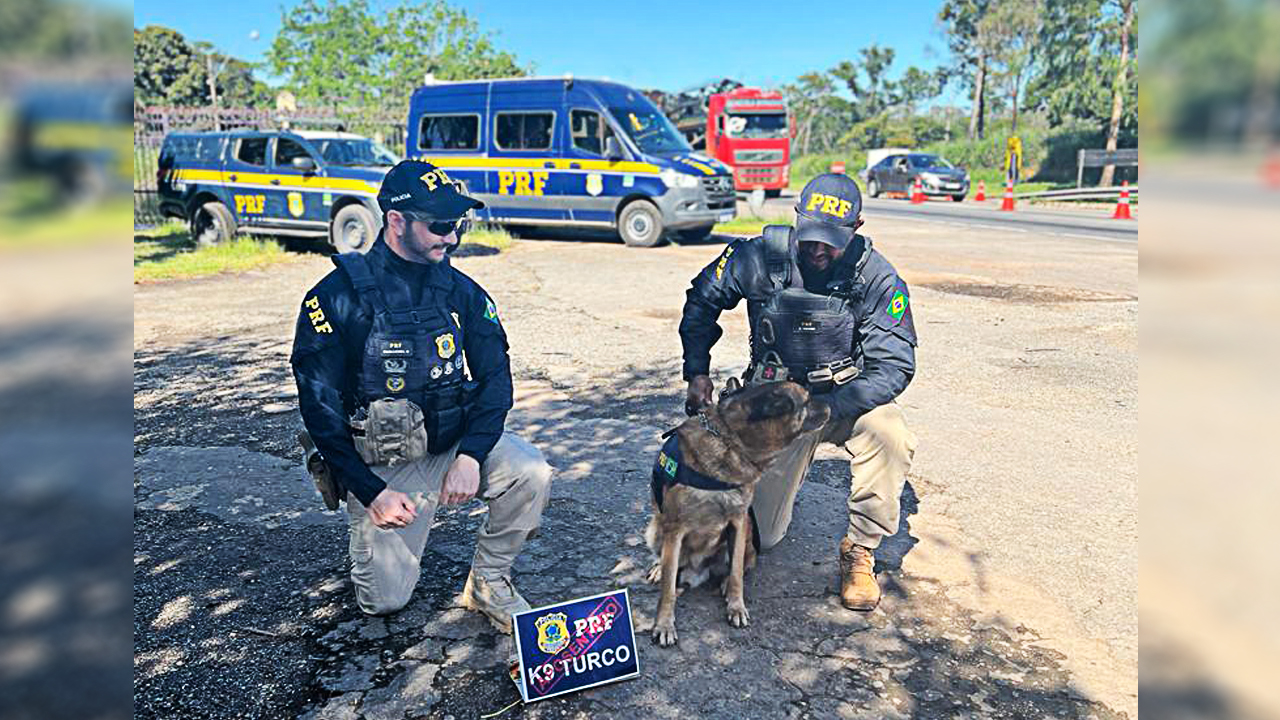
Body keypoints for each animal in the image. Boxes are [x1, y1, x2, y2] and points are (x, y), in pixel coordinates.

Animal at [650, 381, 829, 645]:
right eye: (806, 401)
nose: (829, 405)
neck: (731, 441)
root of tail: (698, 570)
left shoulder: (738, 521)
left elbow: (736, 572)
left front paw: (736, 606)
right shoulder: (674, 529)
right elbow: (668, 587)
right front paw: (664, 624)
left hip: (746, 538)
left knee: (745, 563)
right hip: (655, 528)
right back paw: (658, 567)